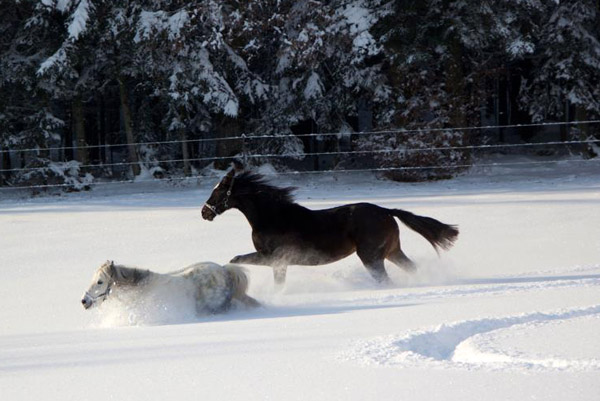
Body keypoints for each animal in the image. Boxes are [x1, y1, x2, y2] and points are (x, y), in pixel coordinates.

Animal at [202, 166, 460, 288]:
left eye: (219, 191)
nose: (204, 212)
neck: (272, 217)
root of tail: (387, 211)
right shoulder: (278, 262)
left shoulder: (274, 258)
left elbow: (236, 259)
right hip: (392, 251)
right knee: (412, 268)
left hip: (371, 257)